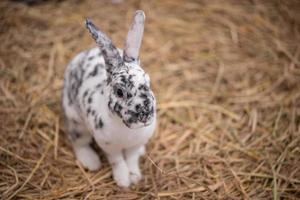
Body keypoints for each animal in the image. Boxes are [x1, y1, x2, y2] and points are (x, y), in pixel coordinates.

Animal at [60, 10, 155, 187]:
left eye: (148, 82)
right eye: (119, 92)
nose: (145, 115)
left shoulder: (135, 145)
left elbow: (131, 159)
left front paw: (135, 176)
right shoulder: (109, 147)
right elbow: (118, 161)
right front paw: (123, 181)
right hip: (77, 123)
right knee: (78, 142)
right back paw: (91, 162)